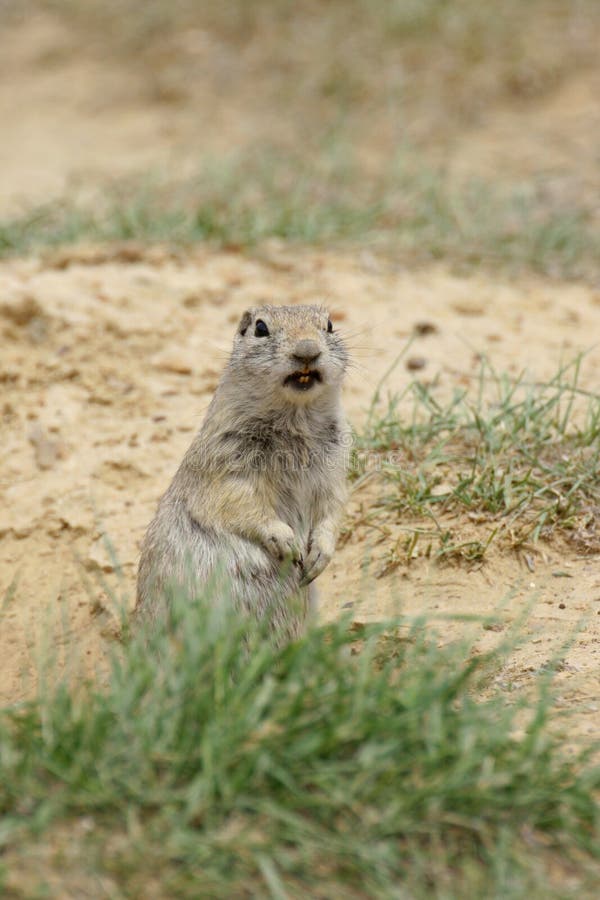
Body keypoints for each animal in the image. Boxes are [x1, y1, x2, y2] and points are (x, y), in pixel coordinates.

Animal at [136, 304, 350, 640]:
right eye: (260, 328)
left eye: (329, 325)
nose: (307, 350)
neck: (295, 417)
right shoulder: (226, 462)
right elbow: (239, 503)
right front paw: (287, 543)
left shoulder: (334, 469)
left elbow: (333, 509)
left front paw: (318, 556)